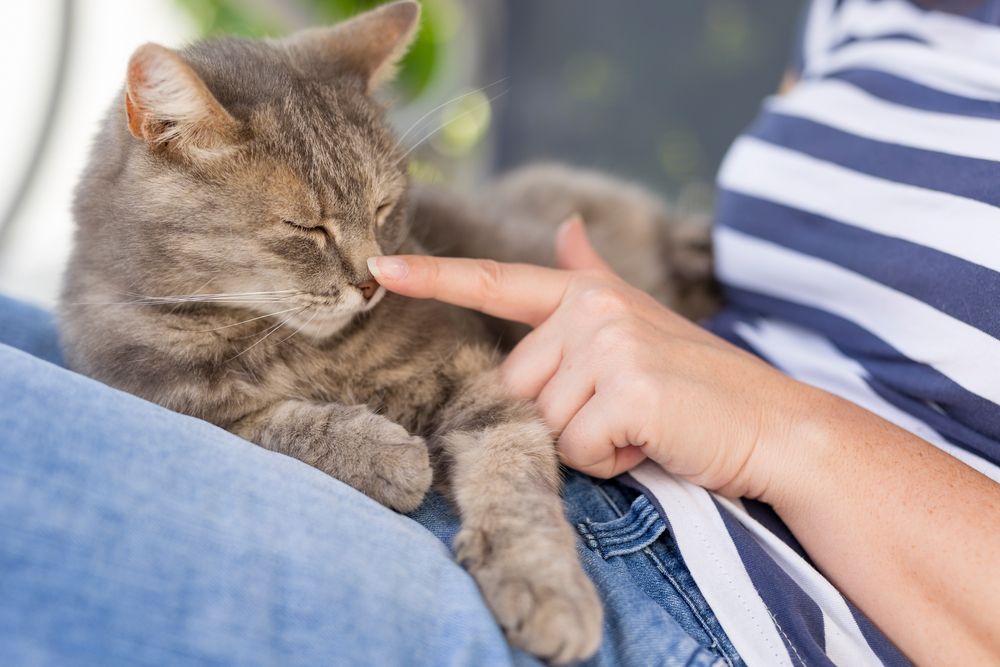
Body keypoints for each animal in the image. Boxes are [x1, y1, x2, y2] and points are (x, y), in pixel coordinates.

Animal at [60, 3, 720, 664]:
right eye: (306, 227)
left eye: (383, 209)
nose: (371, 282)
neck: (294, 346)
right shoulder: (154, 389)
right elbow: (261, 424)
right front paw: (386, 454)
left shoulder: (474, 367)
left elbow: (513, 473)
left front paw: (544, 584)